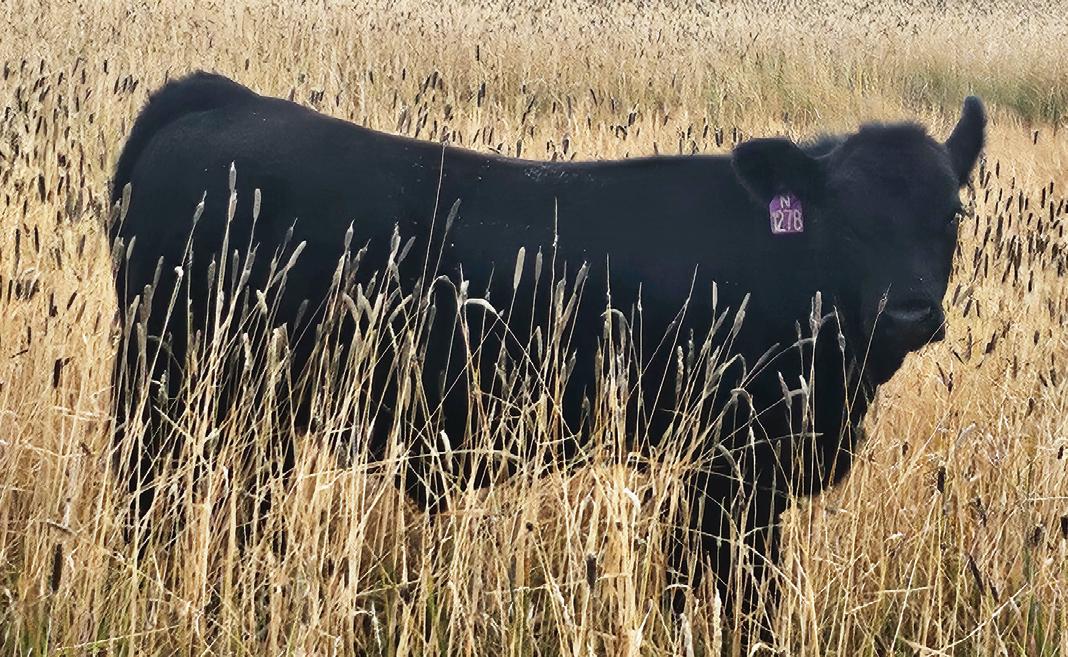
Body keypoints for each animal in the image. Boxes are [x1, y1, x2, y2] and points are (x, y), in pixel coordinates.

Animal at [109, 71, 985, 640]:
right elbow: (731, 590)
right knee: (153, 505)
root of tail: (222, 100)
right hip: (179, 388)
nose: (911, 310)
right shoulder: (734, 465)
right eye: (847, 219)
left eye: (951, 213)